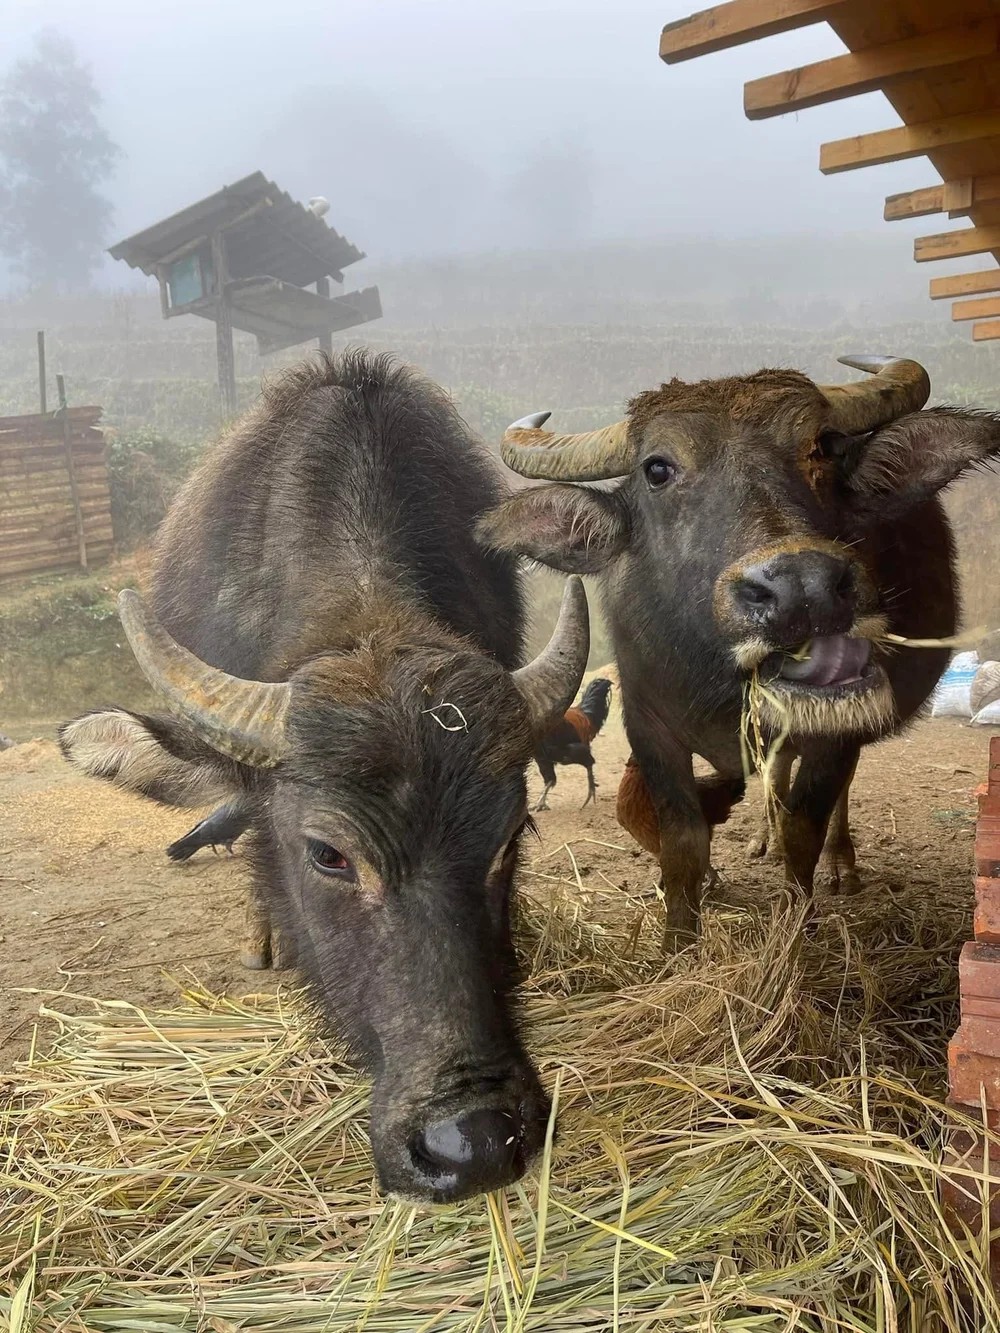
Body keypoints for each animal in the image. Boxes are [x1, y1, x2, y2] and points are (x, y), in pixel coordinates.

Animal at [479, 355, 1000, 947]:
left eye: (824, 445)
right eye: (657, 470)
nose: (802, 588)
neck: (724, 682)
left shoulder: (837, 726)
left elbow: (804, 827)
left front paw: (795, 927)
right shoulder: (648, 723)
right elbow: (678, 838)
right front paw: (679, 942)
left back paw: (839, 863)